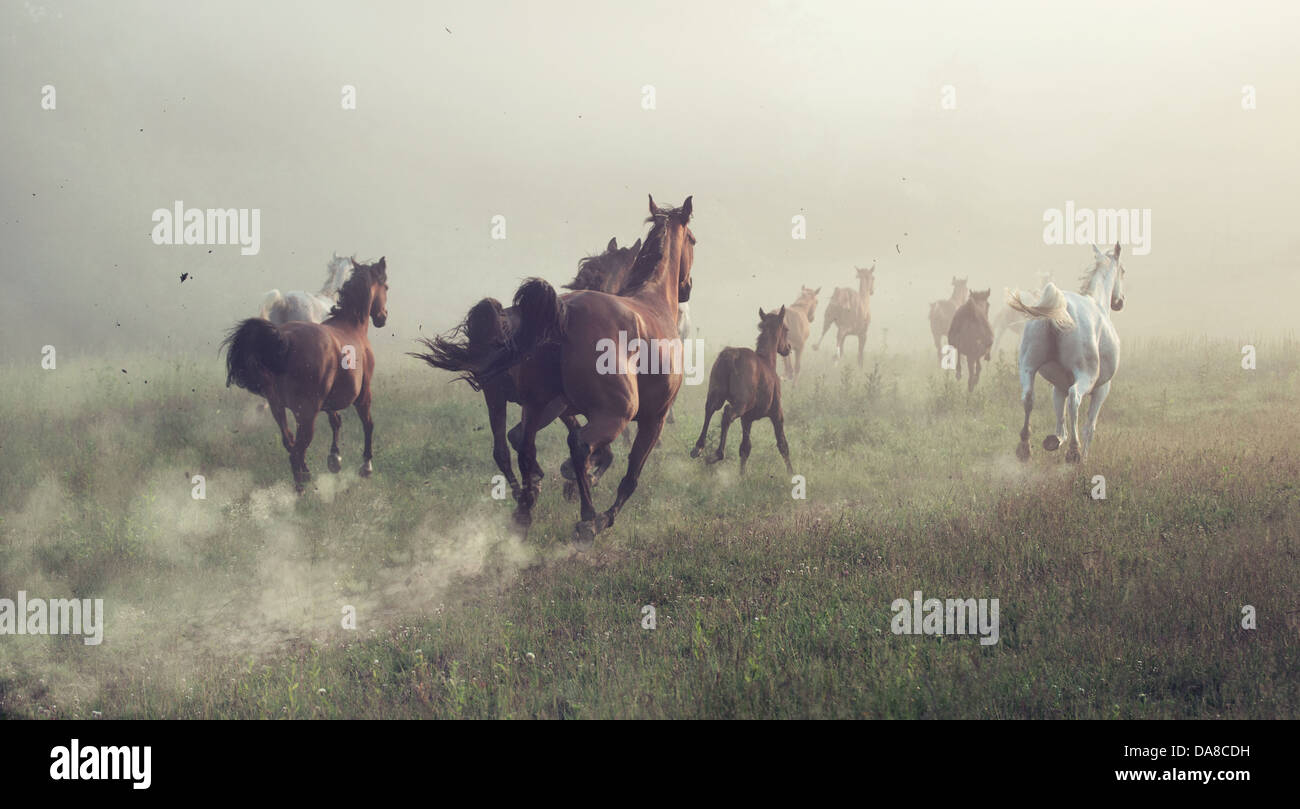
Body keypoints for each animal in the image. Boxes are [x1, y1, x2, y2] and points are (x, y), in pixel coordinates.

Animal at [223, 256, 387, 491]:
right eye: (386, 286)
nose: (383, 317)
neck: (350, 324)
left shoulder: (328, 398)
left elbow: (336, 421)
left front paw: (334, 459)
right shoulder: (363, 393)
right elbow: (368, 423)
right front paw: (366, 467)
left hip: (280, 408)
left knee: (290, 442)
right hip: (307, 413)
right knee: (297, 451)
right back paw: (301, 488)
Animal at [410, 236, 639, 502]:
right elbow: (599, 446)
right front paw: (583, 478)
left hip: (495, 395)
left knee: (501, 450)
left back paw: (524, 490)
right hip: (539, 403)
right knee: (517, 437)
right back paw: (537, 482)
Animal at [467, 195, 691, 546]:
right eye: (693, 240)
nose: (687, 288)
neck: (652, 302)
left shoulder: (567, 406)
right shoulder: (651, 416)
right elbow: (627, 471)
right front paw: (588, 493)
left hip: (517, 401)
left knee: (512, 446)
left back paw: (525, 507)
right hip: (605, 411)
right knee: (572, 445)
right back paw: (586, 518)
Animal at [691, 306, 790, 478]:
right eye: (786, 329)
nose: (788, 348)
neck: (768, 361)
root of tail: (730, 356)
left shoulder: (747, 418)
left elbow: (745, 448)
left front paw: (742, 476)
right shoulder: (777, 413)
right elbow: (783, 445)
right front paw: (792, 474)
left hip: (716, 395)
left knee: (709, 409)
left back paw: (698, 447)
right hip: (741, 404)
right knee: (727, 413)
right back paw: (716, 454)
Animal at [1003, 241, 1128, 463]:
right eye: (1122, 270)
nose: (1119, 301)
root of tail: (1062, 309)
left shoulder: (1058, 387)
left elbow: (1060, 422)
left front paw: (1055, 441)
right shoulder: (1102, 389)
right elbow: (1088, 427)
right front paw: (1082, 458)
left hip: (1027, 367)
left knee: (1028, 397)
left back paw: (1025, 447)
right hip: (1086, 377)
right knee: (1075, 398)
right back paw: (1074, 451)